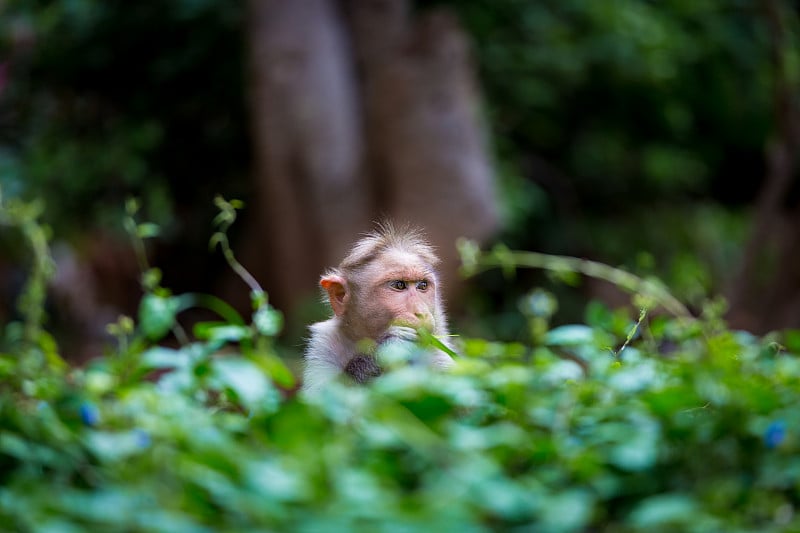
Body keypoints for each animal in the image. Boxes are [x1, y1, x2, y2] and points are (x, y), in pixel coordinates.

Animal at [302, 222, 454, 392]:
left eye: (422, 285)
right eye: (399, 285)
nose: (421, 313)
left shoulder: (438, 353)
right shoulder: (324, 342)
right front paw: (388, 346)